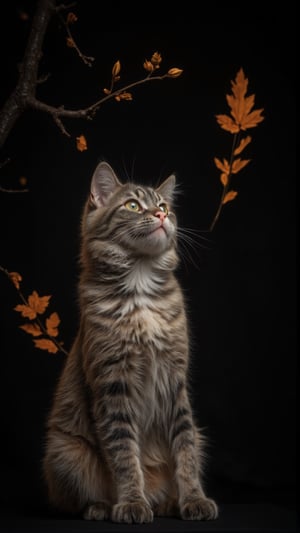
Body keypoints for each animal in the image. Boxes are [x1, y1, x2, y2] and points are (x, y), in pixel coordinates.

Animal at [42, 160, 218, 520]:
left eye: (164, 206)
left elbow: (185, 451)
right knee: (75, 499)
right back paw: (103, 507)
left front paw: (193, 499)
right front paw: (132, 502)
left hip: (201, 435)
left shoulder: (175, 381)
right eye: (133, 206)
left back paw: (167, 502)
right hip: (66, 451)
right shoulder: (112, 385)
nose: (162, 215)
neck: (140, 287)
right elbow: (124, 454)